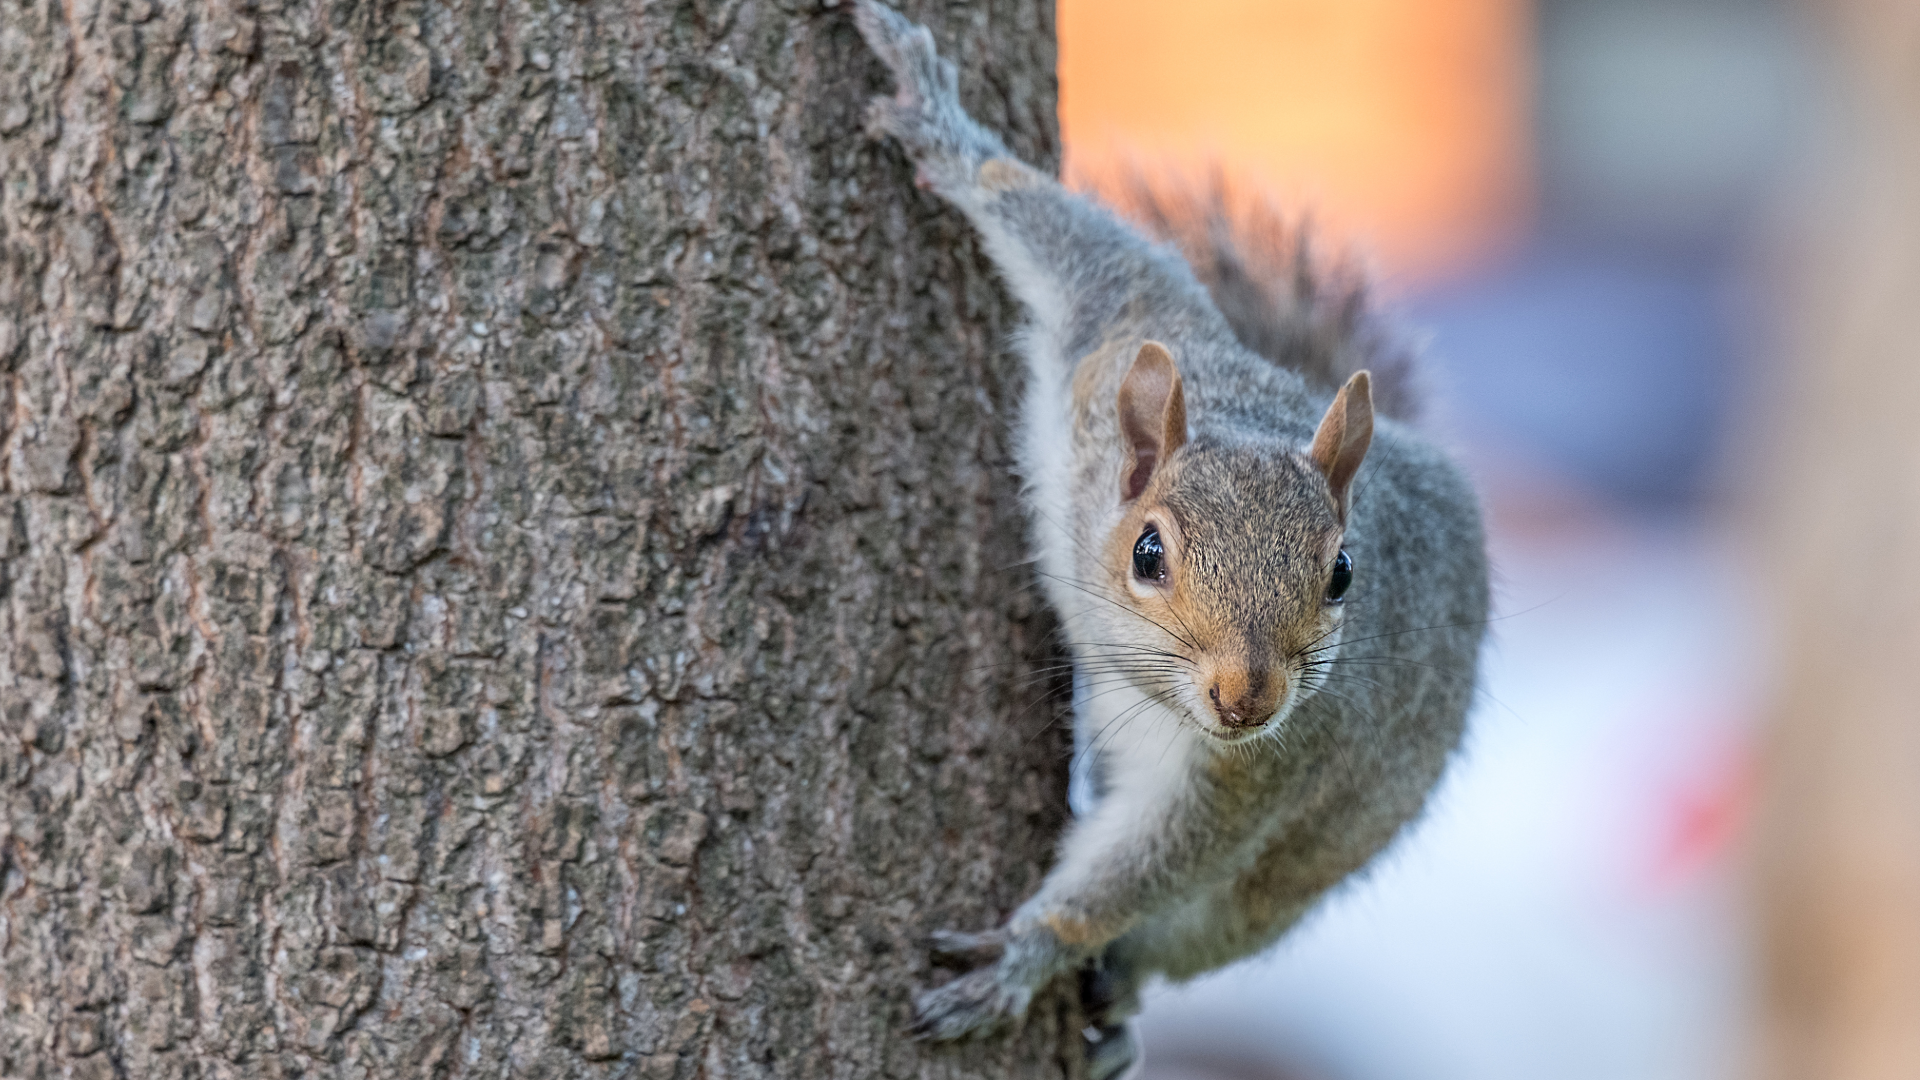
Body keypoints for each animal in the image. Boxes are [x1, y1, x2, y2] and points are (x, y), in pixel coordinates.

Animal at [850, 5, 1491, 1076]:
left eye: (1343, 574)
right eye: (1148, 555)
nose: (1246, 698)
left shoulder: (1262, 770)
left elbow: (1150, 864)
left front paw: (1026, 954)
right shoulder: (1116, 334)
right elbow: (1069, 235)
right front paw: (939, 125)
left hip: (1274, 893)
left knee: (1175, 937)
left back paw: (1118, 1004)